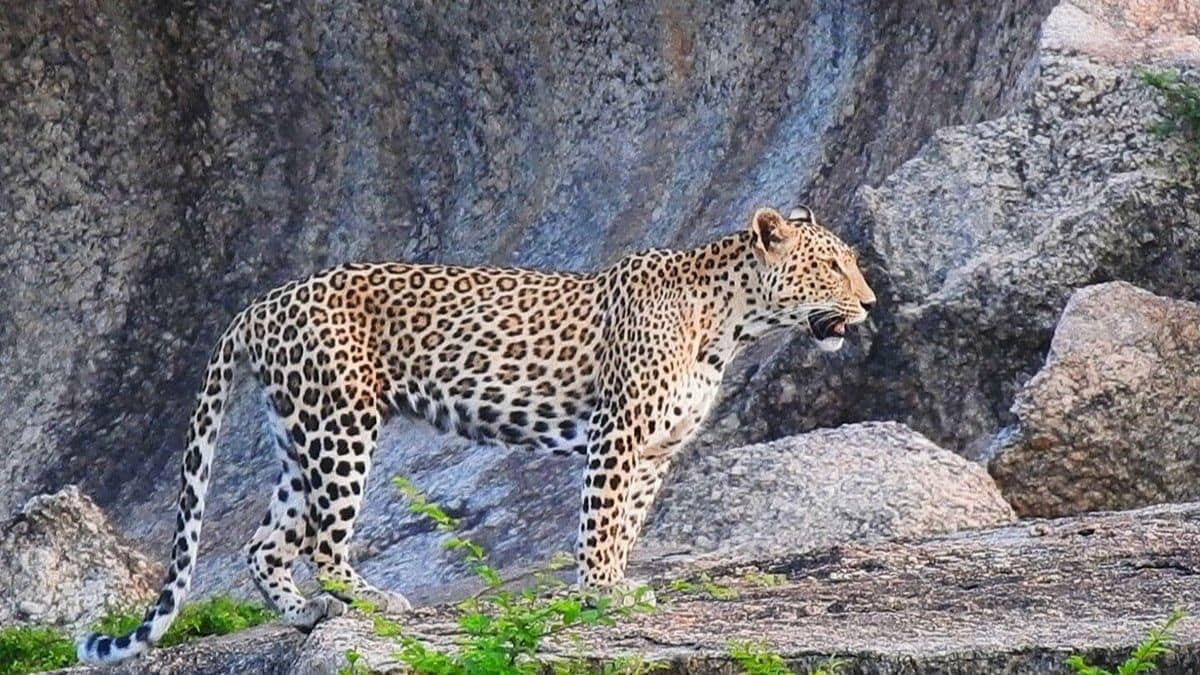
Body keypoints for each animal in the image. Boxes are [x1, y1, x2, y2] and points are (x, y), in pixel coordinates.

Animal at [77, 205, 875, 664]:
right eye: (833, 265)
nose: (869, 303)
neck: (733, 322)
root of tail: (259, 302)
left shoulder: (655, 451)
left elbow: (626, 525)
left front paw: (617, 586)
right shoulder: (617, 437)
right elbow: (600, 523)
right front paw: (601, 595)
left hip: (299, 432)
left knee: (265, 543)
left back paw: (307, 615)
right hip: (342, 426)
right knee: (325, 543)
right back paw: (374, 603)